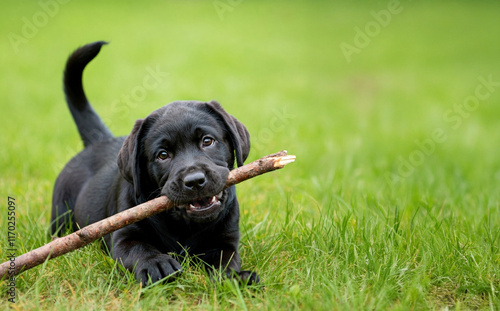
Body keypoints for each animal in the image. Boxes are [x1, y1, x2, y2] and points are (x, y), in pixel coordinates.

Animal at [51, 41, 258, 286]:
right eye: (162, 155)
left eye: (207, 141)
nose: (194, 181)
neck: (184, 226)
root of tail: (98, 140)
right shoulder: (124, 236)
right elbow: (139, 248)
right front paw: (157, 264)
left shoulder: (226, 239)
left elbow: (224, 260)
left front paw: (236, 277)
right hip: (61, 211)